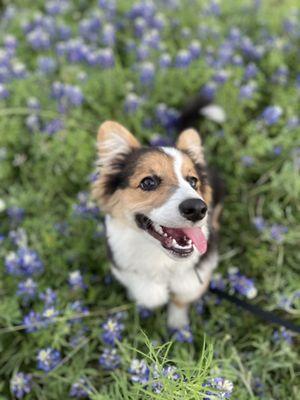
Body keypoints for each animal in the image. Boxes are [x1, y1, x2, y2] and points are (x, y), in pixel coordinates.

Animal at [93, 120, 223, 326]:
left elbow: (179, 301)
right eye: (148, 182)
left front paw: (178, 327)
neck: (162, 262)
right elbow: (149, 296)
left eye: (193, 181)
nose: (197, 209)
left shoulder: (194, 280)